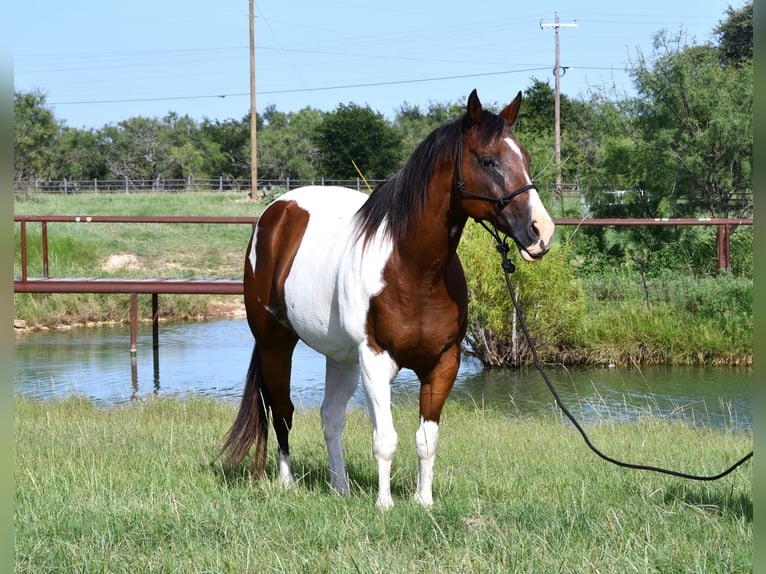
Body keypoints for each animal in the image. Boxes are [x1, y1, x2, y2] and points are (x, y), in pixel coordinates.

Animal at [220, 89, 555, 509]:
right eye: (488, 160)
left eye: (524, 158)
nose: (542, 231)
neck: (414, 270)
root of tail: (276, 212)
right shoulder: (377, 361)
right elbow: (385, 439)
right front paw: (385, 504)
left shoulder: (444, 362)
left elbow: (426, 440)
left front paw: (423, 501)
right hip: (276, 342)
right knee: (282, 410)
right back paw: (287, 483)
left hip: (341, 357)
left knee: (331, 416)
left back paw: (341, 488)